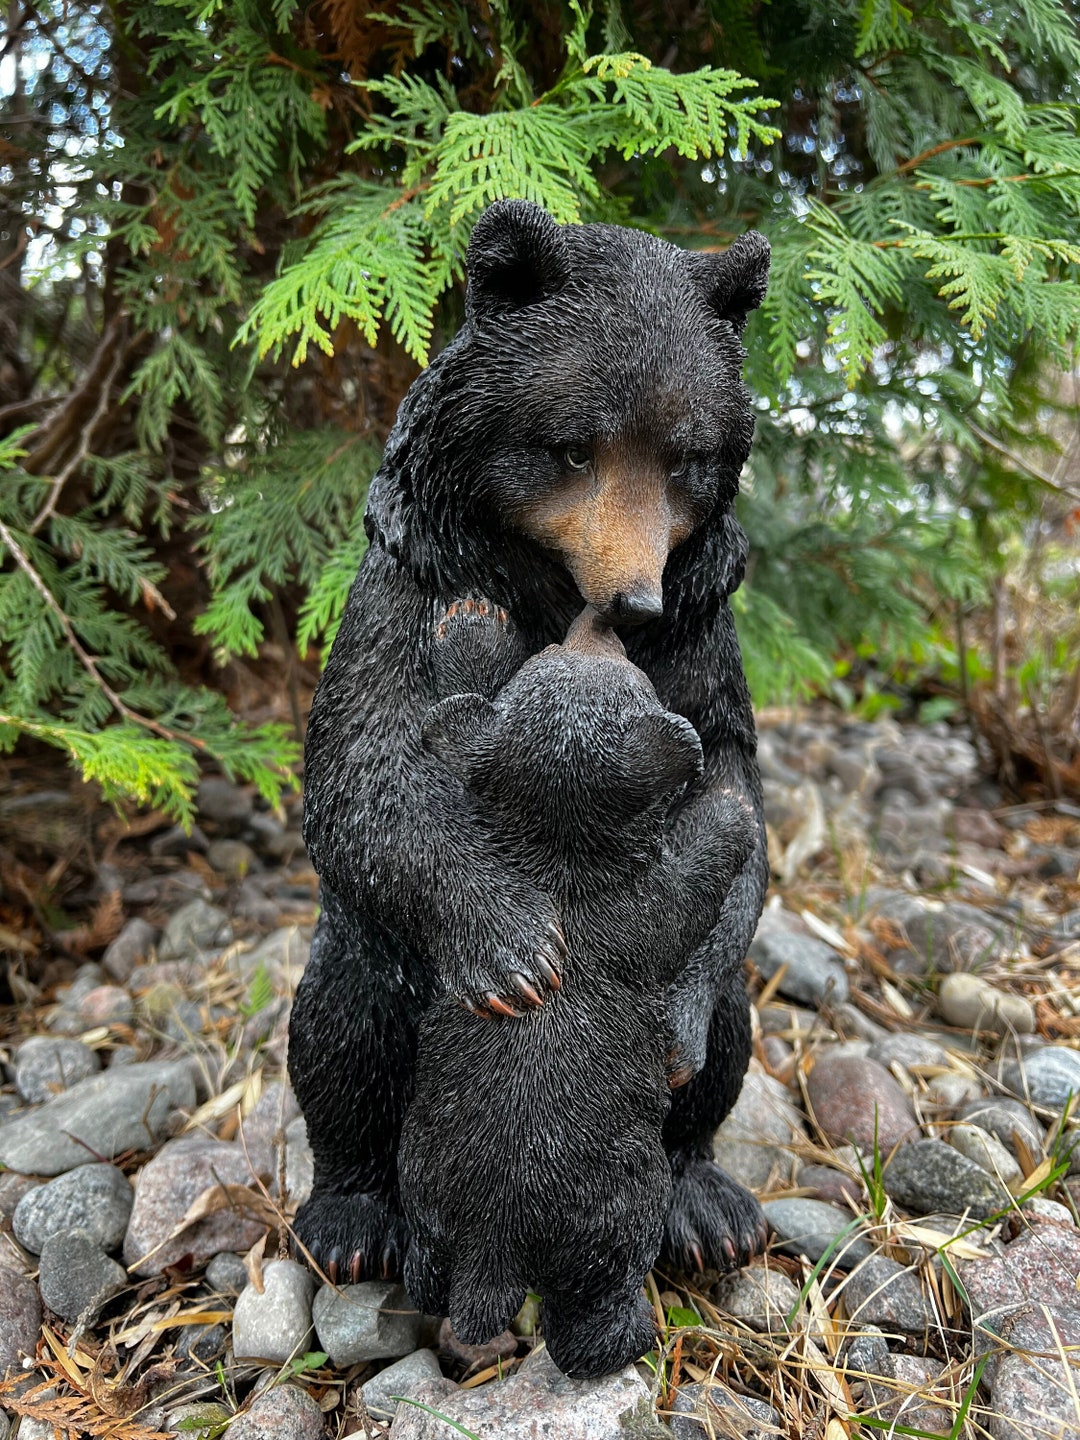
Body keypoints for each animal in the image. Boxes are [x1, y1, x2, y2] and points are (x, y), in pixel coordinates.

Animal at [290, 197, 772, 1292]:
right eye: (573, 447)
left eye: (686, 458)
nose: (632, 597)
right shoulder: (416, 577)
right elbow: (362, 767)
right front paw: (514, 949)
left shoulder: (699, 629)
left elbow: (732, 787)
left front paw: (674, 1016)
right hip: (371, 970)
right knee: (342, 1025)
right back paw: (350, 1217)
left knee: (730, 1037)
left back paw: (704, 1204)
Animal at [399, 599, 757, 1378]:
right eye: (630, 674)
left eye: (548, 655)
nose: (601, 618)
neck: (559, 849)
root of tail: (493, 1248)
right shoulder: (646, 908)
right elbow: (694, 878)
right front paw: (730, 812)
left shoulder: (477, 808)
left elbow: (455, 732)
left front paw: (470, 627)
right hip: (614, 1210)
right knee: (596, 1300)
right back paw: (632, 1340)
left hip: (426, 1185)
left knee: (425, 1269)